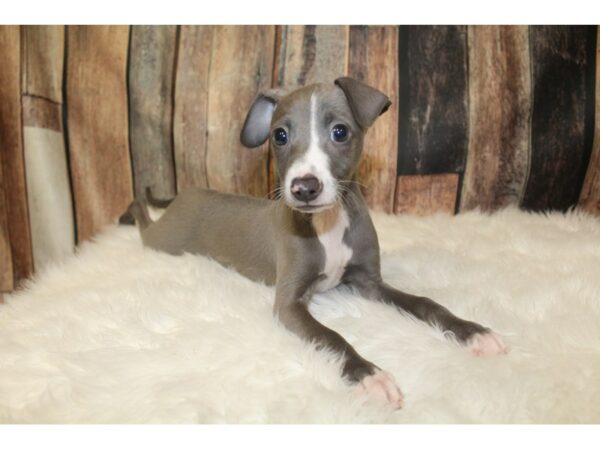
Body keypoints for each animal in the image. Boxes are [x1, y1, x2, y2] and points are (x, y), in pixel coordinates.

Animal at [124, 78, 508, 412]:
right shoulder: (289, 302)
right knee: (142, 214)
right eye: (279, 135)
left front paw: (474, 333)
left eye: (340, 131)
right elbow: (331, 336)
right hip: (163, 238)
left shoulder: (369, 283)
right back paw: (134, 206)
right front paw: (371, 377)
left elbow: (426, 302)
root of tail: (187, 194)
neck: (327, 224)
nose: (303, 188)